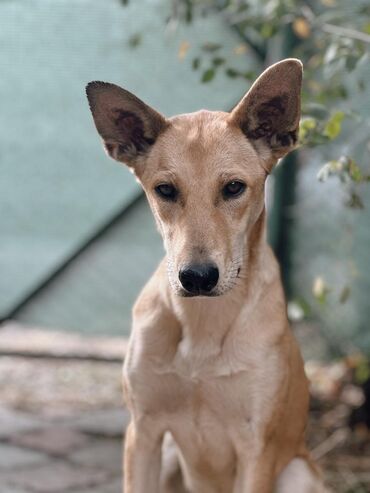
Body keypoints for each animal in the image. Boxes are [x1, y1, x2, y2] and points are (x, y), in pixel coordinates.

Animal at [86, 60, 326, 492]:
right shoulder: (143, 432)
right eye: (165, 190)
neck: (202, 328)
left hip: (297, 472)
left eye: (233, 187)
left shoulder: (257, 449)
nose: (197, 277)